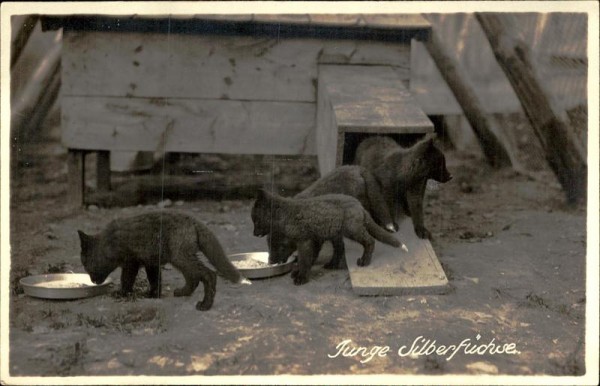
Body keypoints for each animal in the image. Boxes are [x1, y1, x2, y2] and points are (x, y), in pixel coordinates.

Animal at [78, 211, 251, 310]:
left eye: (85, 265)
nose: (92, 281)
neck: (108, 242)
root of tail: (194, 221)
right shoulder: (151, 262)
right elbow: (155, 281)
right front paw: (153, 295)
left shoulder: (131, 263)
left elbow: (126, 280)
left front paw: (121, 294)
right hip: (180, 259)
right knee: (194, 278)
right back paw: (182, 292)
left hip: (181, 257)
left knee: (208, 274)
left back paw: (205, 305)